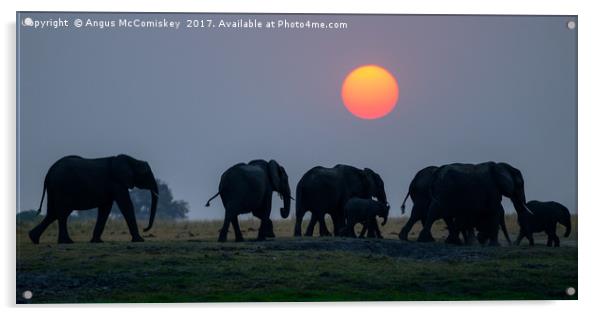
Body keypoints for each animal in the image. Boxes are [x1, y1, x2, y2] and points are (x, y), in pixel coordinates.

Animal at [27, 156, 159, 244]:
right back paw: (66, 242)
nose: (145, 228)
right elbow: (126, 205)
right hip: (61, 188)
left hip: (54, 188)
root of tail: (48, 173)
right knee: (62, 213)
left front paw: (97, 241)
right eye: (146, 173)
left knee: (53, 213)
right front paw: (139, 240)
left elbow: (105, 209)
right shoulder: (118, 183)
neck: (131, 160)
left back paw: (33, 238)